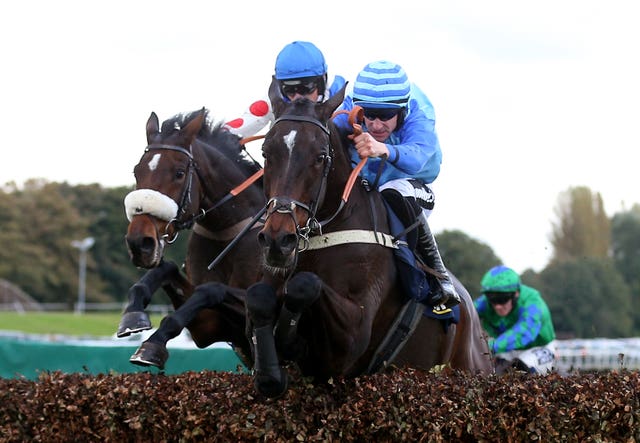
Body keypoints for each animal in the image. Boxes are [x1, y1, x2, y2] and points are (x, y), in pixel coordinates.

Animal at [119, 109, 264, 370]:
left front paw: (151, 345)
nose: (139, 242)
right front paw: (132, 316)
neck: (227, 233)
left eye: (179, 173)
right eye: (137, 171)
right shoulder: (211, 326)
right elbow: (166, 268)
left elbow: (210, 290)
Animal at [245, 80, 496, 398]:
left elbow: (305, 285)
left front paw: (288, 338)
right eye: (266, 152)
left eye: (320, 156)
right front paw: (270, 374)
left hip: (471, 367)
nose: (279, 240)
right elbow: (258, 298)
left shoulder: (350, 339)